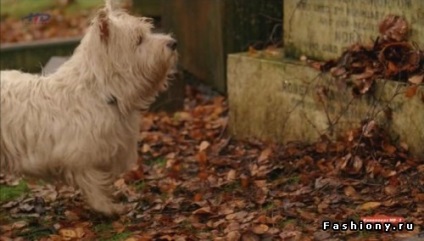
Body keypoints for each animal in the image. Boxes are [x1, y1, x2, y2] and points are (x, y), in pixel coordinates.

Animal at [0, 0, 177, 215]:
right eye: (139, 40)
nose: (173, 43)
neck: (101, 90)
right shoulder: (82, 156)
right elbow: (93, 184)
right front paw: (107, 208)